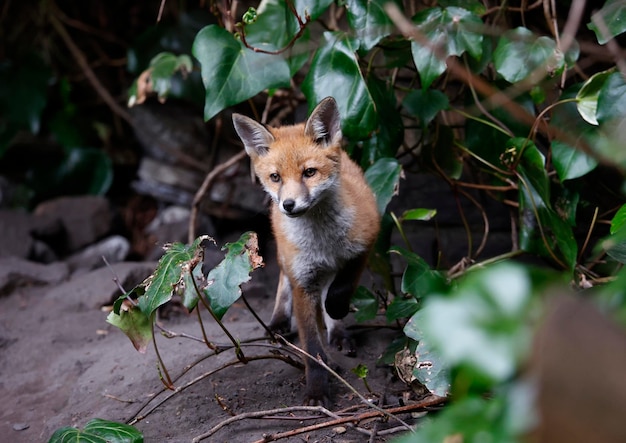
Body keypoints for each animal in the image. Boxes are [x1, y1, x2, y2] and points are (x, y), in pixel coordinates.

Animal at [232, 97, 378, 406]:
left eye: (309, 172)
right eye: (275, 177)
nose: (288, 205)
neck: (324, 243)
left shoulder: (365, 243)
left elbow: (341, 288)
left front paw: (336, 311)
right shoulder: (303, 280)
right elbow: (311, 345)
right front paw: (318, 389)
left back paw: (339, 331)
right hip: (287, 259)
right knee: (283, 280)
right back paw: (279, 322)